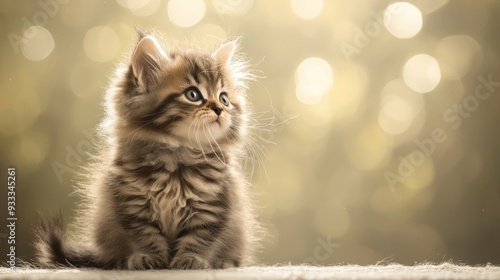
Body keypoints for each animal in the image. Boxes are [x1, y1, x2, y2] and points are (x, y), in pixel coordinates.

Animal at [36, 31, 258, 272]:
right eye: (193, 94)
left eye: (224, 99)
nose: (219, 110)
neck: (177, 154)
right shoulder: (132, 204)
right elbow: (145, 236)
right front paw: (148, 258)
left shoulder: (213, 205)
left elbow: (200, 237)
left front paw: (191, 259)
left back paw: (225, 262)